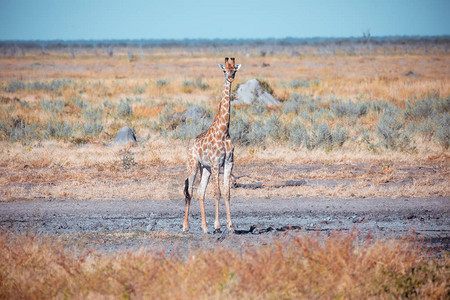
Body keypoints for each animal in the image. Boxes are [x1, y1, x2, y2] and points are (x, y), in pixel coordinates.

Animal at [182, 56, 241, 234]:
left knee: (200, 192)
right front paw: (218, 225)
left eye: (234, 70)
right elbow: (217, 193)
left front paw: (231, 226)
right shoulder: (216, 163)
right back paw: (185, 226)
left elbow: (227, 193)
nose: (230, 79)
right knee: (189, 191)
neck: (224, 131)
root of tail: (192, 144)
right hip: (193, 165)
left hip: (205, 168)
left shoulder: (228, 163)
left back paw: (204, 227)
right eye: (224, 70)